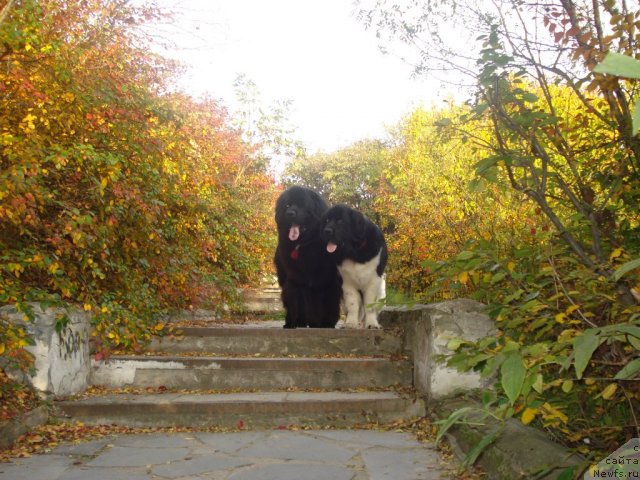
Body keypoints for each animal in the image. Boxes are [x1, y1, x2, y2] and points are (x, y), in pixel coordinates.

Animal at [276, 186, 344, 328]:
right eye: (287, 205)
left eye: (302, 206)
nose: (290, 213)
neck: (304, 245)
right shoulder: (296, 279)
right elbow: (296, 300)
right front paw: (293, 322)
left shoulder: (327, 280)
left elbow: (327, 302)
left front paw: (326, 323)